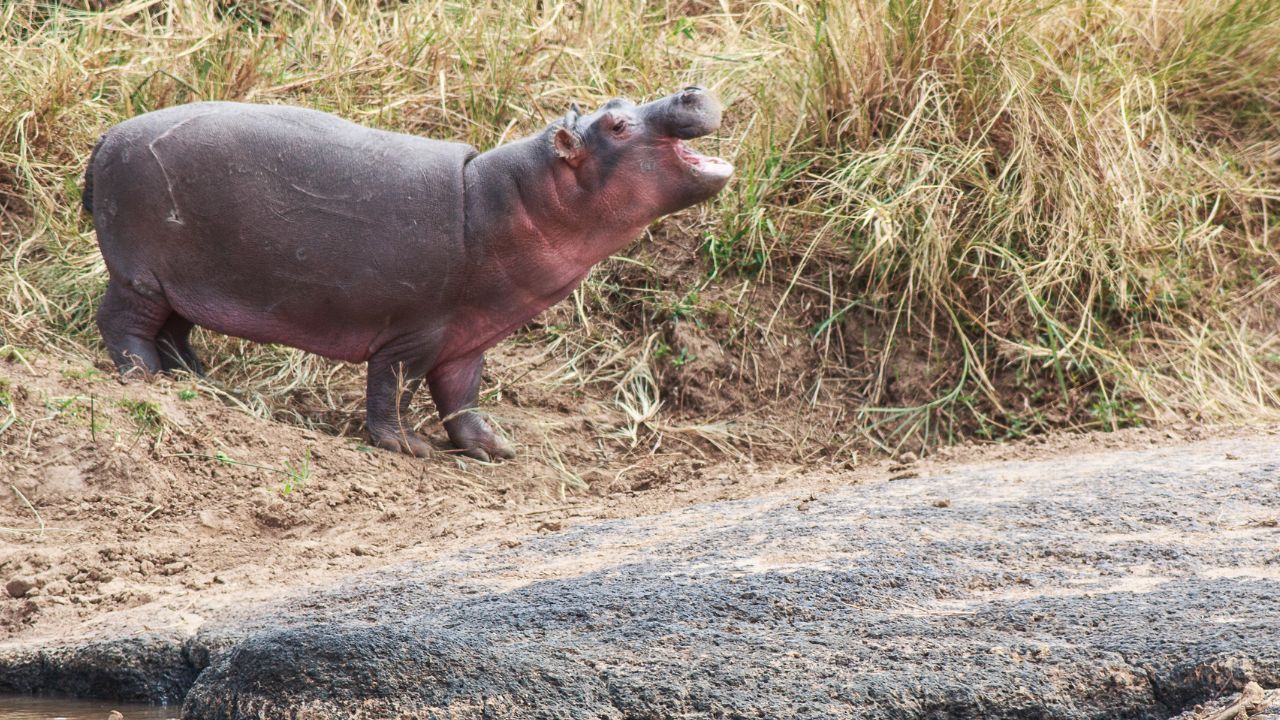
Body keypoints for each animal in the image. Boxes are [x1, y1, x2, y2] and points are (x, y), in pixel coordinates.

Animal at [85, 88, 737, 458]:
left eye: (619, 107)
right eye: (617, 126)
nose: (690, 89)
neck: (508, 199)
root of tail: (106, 136)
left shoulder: (468, 336)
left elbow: (462, 396)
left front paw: (496, 448)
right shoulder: (415, 329)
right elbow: (392, 386)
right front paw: (409, 448)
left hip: (186, 283)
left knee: (175, 331)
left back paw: (202, 384)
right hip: (142, 274)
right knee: (122, 321)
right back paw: (144, 378)